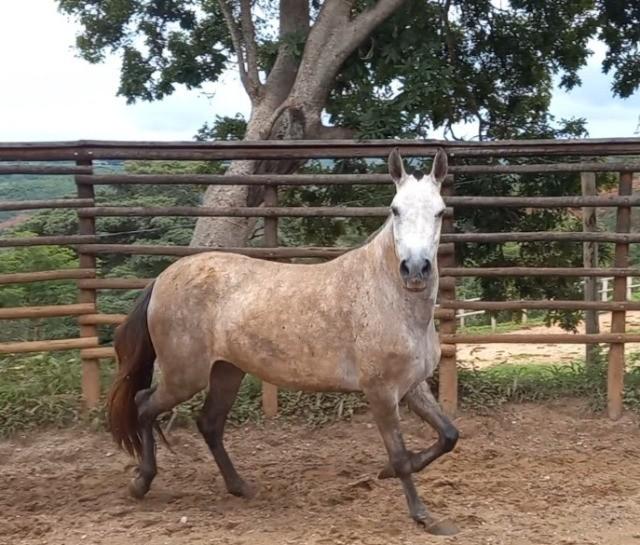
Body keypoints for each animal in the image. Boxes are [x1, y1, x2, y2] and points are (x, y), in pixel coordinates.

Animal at [109, 148, 460, 532]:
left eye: (439, 211)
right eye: (395, 209)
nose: (415, 269)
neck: (388, 297)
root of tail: (162, 279)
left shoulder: (412, 386)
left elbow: (448, 436)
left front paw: (387, 476)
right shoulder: (380, 392)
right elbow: (399, 456)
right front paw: (424, 516)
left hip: (227, 372)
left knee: (209, 424)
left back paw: (240, 487)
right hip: (184, 377)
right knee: (144, 405)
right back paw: (141, 483)